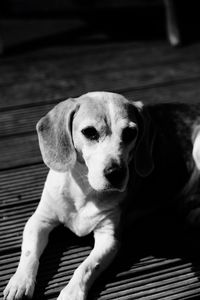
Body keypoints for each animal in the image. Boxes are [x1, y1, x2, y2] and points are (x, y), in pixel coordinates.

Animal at [3, 91, 200, 300]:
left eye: (130, 133)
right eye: (89, 132)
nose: (116, 173)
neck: (85, 189)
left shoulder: (109, 238)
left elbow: (87, 267)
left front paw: (72, 292)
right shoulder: (39, 220)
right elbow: (29, 253)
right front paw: (20, 282)